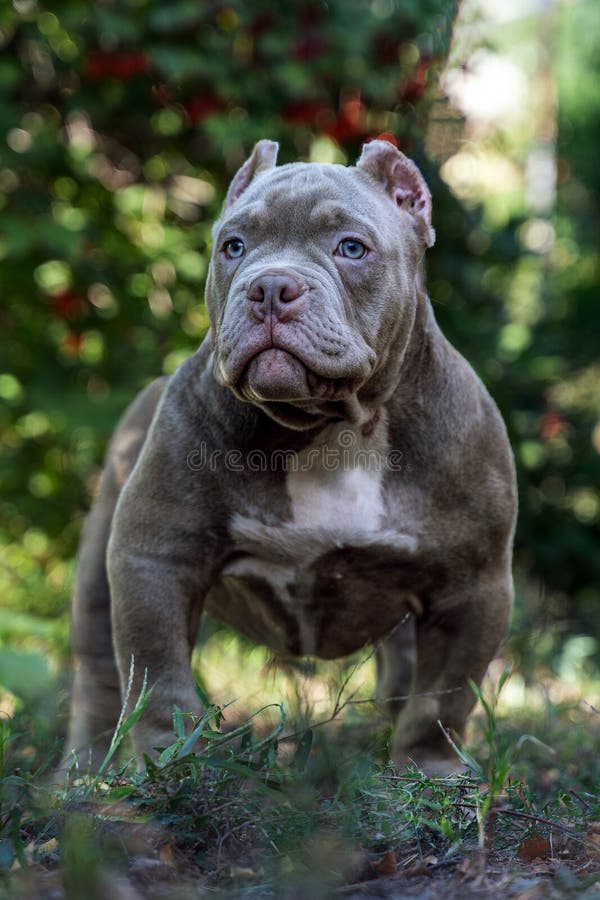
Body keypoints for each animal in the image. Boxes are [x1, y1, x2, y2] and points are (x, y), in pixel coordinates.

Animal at [64, 139, 516, 772]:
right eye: (233, 246)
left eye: (351, 248)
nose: (271, 287)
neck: (330, 428)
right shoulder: (155, 556)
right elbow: (158, 677)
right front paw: (170, 762)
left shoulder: (471, 586)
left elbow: (442, 699)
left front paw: (429, 770)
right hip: (96, 571)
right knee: (101, 677)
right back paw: (83, 776)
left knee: (404, 682)